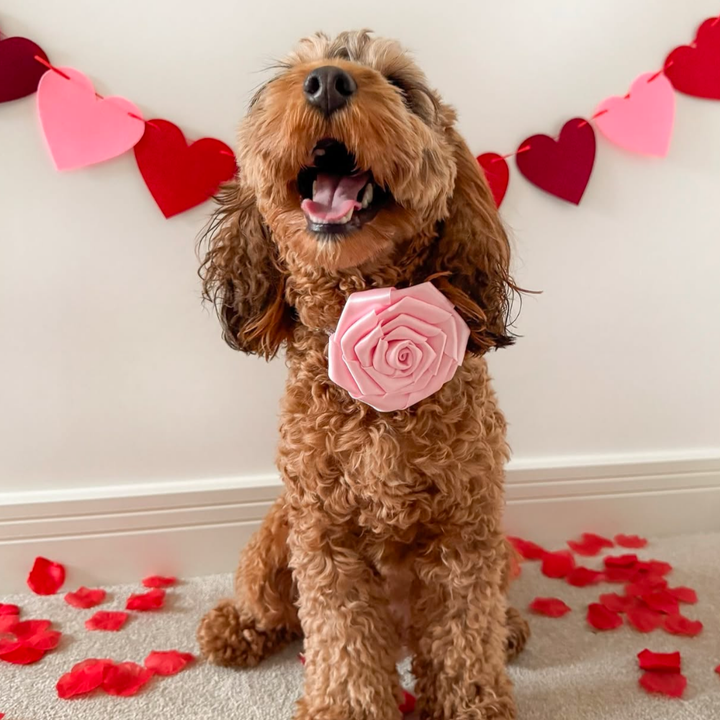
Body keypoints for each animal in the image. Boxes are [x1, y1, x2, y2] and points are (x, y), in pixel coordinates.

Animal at [197, 29, 528, 720]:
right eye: (290, 74)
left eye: (401, 87)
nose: (327, 81)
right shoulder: (326, 537)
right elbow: (342, 639)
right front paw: (344, 706)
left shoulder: (465, 528)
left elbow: (464, 636)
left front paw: (471, 702)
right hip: (275, 536)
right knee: (267, 604)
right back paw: (233, 628)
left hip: (500, 550)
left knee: (486, 611)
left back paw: (509, 626)